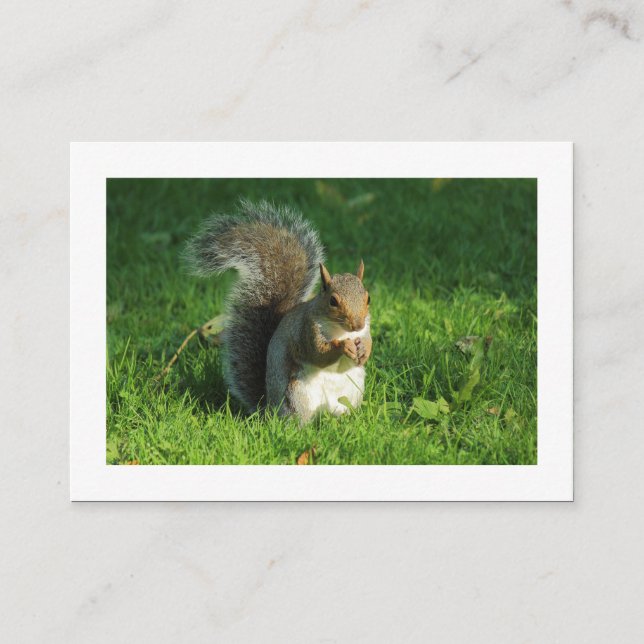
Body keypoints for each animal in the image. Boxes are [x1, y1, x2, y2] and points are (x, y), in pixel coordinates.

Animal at [183, 199, 372, 423]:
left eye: (368, 298)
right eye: (333, 301)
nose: (357, 324)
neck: (341, 330)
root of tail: (270, 410)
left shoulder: (366, 328)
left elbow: (368, 342)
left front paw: (364, 351)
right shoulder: (306, 331)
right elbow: (318, 354)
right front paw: (344, 347)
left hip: (352, 391)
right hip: (297, 394)